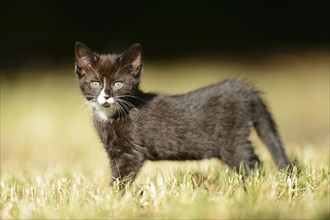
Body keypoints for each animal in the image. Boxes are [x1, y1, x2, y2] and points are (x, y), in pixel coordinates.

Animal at [74, 42, 288, 187]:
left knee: (253, 165)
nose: (106, 96)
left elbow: (121, 180)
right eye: (95, 83)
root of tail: (245, 90)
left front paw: (113, 199)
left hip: (233, 142)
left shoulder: (130, 153)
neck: (111, 115)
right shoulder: (114, 153)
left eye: (118, 83)